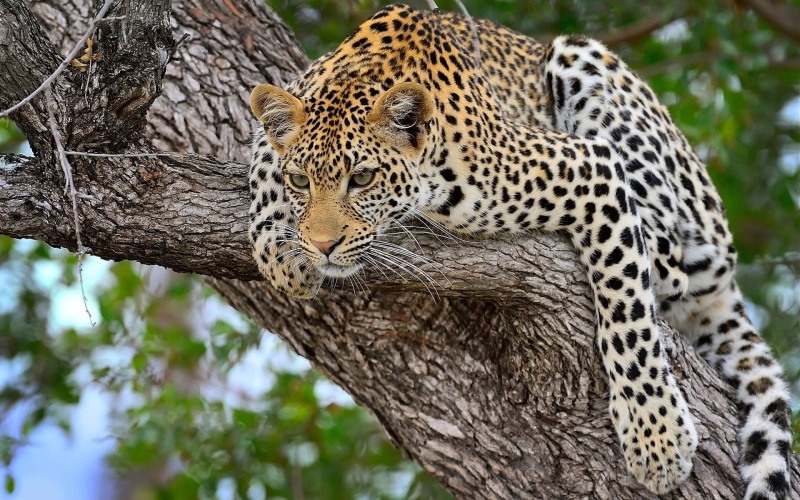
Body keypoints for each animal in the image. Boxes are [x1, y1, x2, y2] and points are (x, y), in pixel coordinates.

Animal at [246, 3, 793, 498]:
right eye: (301, 181)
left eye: (361, 179)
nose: (322, 246)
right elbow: (261, 159)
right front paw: (280, 248)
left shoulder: (590, 168)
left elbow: (628, 316)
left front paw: (655, 436)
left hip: (587, 64)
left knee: (669, 260)